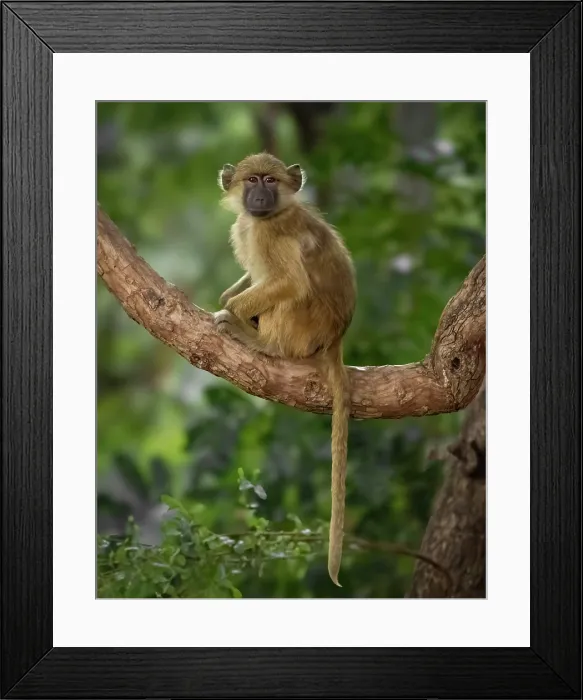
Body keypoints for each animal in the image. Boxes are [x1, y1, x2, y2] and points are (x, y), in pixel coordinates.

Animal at [214, 152, 357, 586]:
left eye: (271, 181)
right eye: (252, 180)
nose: (259, 196)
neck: (262, 218)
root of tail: (334, 340)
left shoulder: (269, 234)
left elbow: (287, 282)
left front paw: (235, 311)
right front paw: (229, 296)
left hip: (302, 327)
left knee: (292, 290)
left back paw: (257, 338)